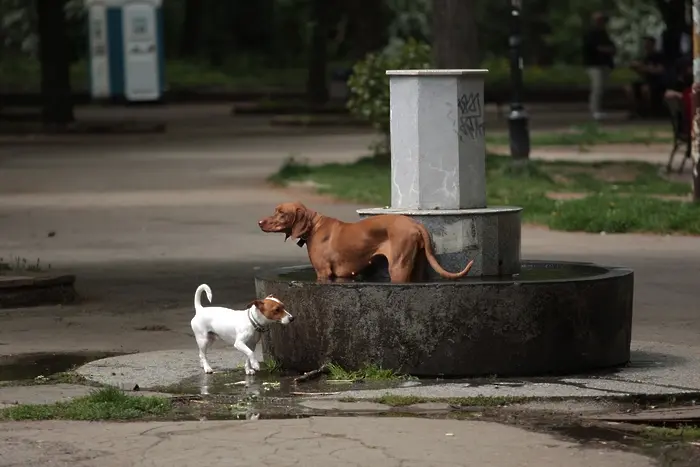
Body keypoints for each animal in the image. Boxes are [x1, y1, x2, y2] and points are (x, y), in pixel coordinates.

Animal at [258, 200, 476, 282]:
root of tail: (414, 223)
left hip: (398, 267)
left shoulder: (323, 273)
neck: (314, 226)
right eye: (275, 210)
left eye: (281, 213)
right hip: (419, 265)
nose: (259, 222)